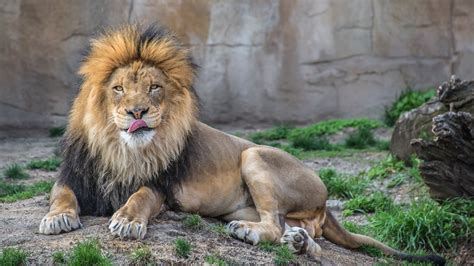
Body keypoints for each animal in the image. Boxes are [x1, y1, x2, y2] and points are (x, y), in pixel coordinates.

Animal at [38, 23, 444, 264]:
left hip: (254, 155)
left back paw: (256, 235)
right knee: (298, 231)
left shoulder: (161, 186)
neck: (121, 148)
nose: (138, 111)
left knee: (274, 225)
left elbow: (139, 197)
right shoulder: (74, 173)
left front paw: (126, 222)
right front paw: (57, 219)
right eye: (119, 88)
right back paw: (299, 243)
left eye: (154, 87)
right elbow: (60, 195)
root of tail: (327, 201)